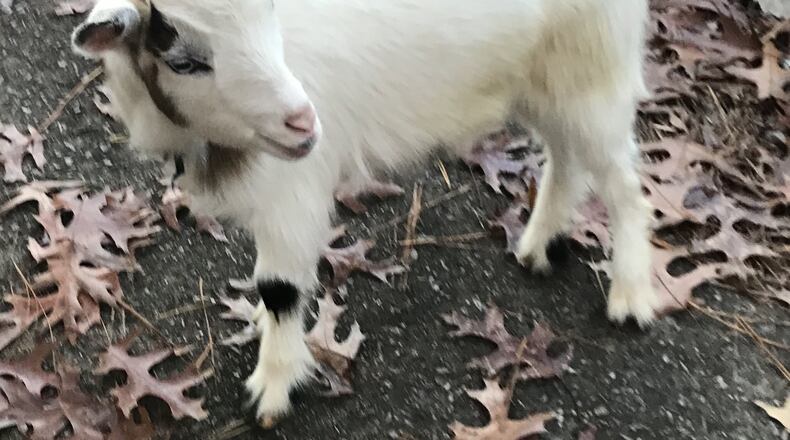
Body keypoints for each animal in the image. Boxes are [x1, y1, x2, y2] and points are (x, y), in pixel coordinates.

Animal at [72, 0, 658, 426]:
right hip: (547, 82)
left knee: (626, 187)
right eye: (184, 63)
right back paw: (539, 245)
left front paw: (273, 388)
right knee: (566, 158)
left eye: (268, 13)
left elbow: (280, 287)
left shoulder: (294, 189)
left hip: (592, 71)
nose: (304, 123)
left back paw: (630, 295)